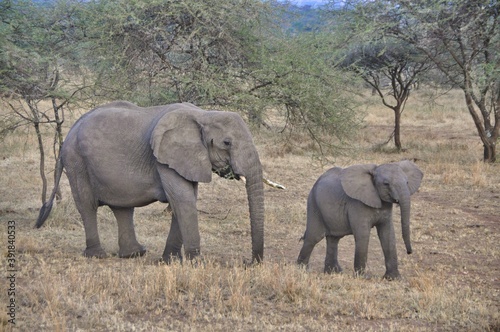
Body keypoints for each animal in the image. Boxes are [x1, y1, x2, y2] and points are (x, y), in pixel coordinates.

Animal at [35, 102, 266, 264]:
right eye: (227, 143)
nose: (248, 263)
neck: (204, 114)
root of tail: (69, 134)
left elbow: (185, 200)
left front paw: (169, 261)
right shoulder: (164, 158)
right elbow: (182, 200)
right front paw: (196, 263)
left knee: (122, 208)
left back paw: (135, 254)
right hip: (76, 161)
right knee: (87, 205)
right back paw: (98, 256)